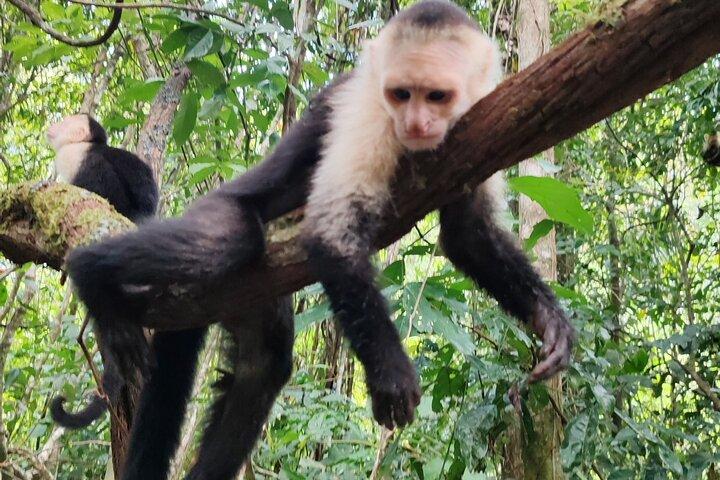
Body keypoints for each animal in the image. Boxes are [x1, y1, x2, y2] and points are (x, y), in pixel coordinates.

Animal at [65, 1, 574, 478]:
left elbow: (469, 235)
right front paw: (390, 374)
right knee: (230, 241)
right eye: (401, 94)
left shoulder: (477, 115)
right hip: (218, 213)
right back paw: (92, 276)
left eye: (437, 96)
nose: (415, 124)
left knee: (264, 362)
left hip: (248, 296)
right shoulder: (369, 114)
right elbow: (330, 235)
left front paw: (549, 321)